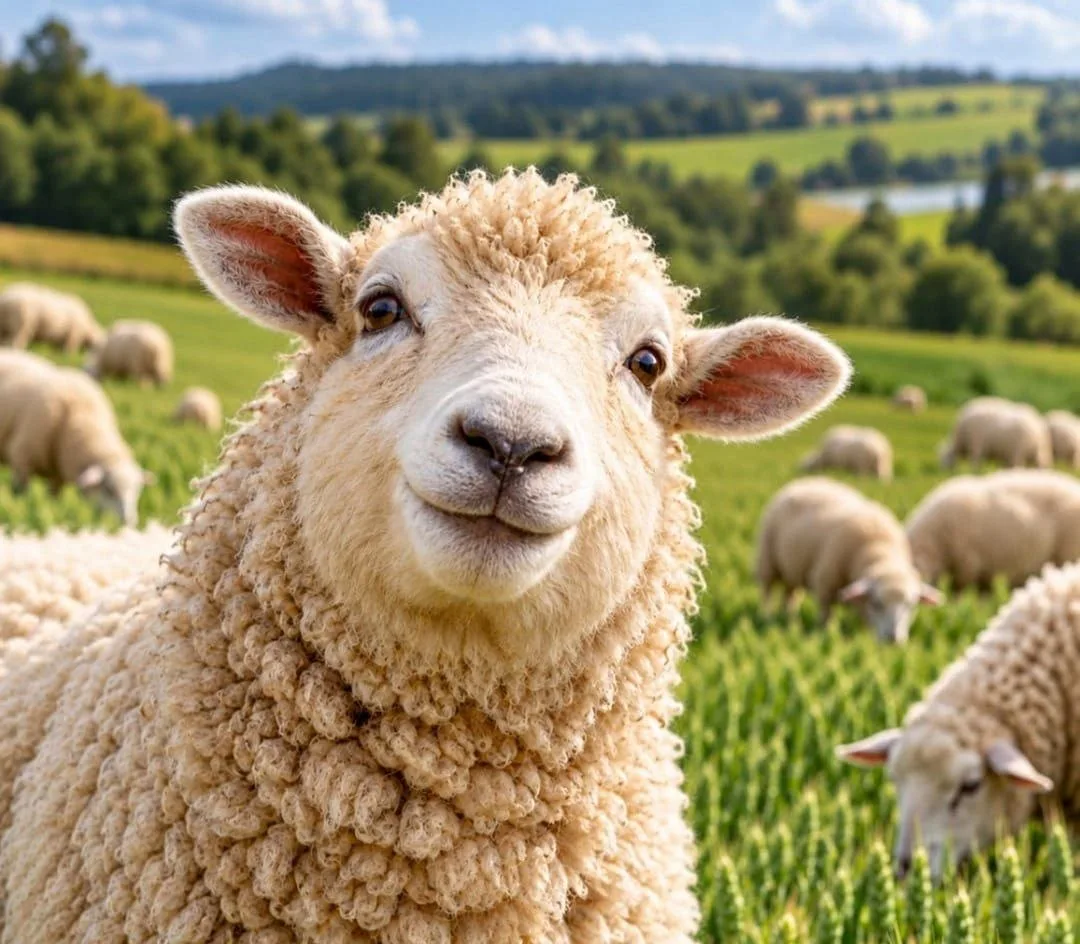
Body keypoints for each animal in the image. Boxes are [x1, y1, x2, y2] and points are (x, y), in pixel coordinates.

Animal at [0, 350, 153, 526]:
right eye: (109, 490)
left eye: (137, 491)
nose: (129, 522)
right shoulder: (22, 460)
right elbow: (20, 493)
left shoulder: (57, 476)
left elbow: (53, 497)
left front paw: (53, 509)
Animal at [756, 477, 940, 642]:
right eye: (877, 604)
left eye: (911, 605)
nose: (893, 640)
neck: (878, 549)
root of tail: (801, 482)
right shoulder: (825, 584)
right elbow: (826, 615)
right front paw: (827, 633)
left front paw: (863, 637)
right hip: (767, 560)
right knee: (767, 591)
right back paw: (767, 616)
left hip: (792, 568)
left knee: (790, 594)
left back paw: (788, 615)